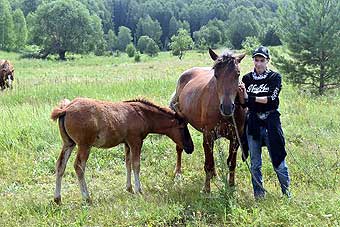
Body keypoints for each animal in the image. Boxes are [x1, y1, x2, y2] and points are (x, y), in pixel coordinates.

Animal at [50, 96, 194, 203]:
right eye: (182, 127)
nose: (190, 147)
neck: (142, 115)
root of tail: (65, 109)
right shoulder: (136, 141)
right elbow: (136, 164)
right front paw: (139, 190)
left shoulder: (126, 143)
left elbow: (128, 164)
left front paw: (129, 188)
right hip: (84, 145)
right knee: (79, 166)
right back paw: (87, 197)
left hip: (68, 143)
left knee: (60, 165)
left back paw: (57, 198)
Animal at [170, 48, 247, 192]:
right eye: (216, 75)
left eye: (238, 74)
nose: (227, 107)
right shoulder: (207, 135)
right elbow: (208, 164)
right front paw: (206, 189)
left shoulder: (236, 138)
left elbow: (231, 163)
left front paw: (231, 186)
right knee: (179, 148)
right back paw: (178, 173)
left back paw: (215, 175)